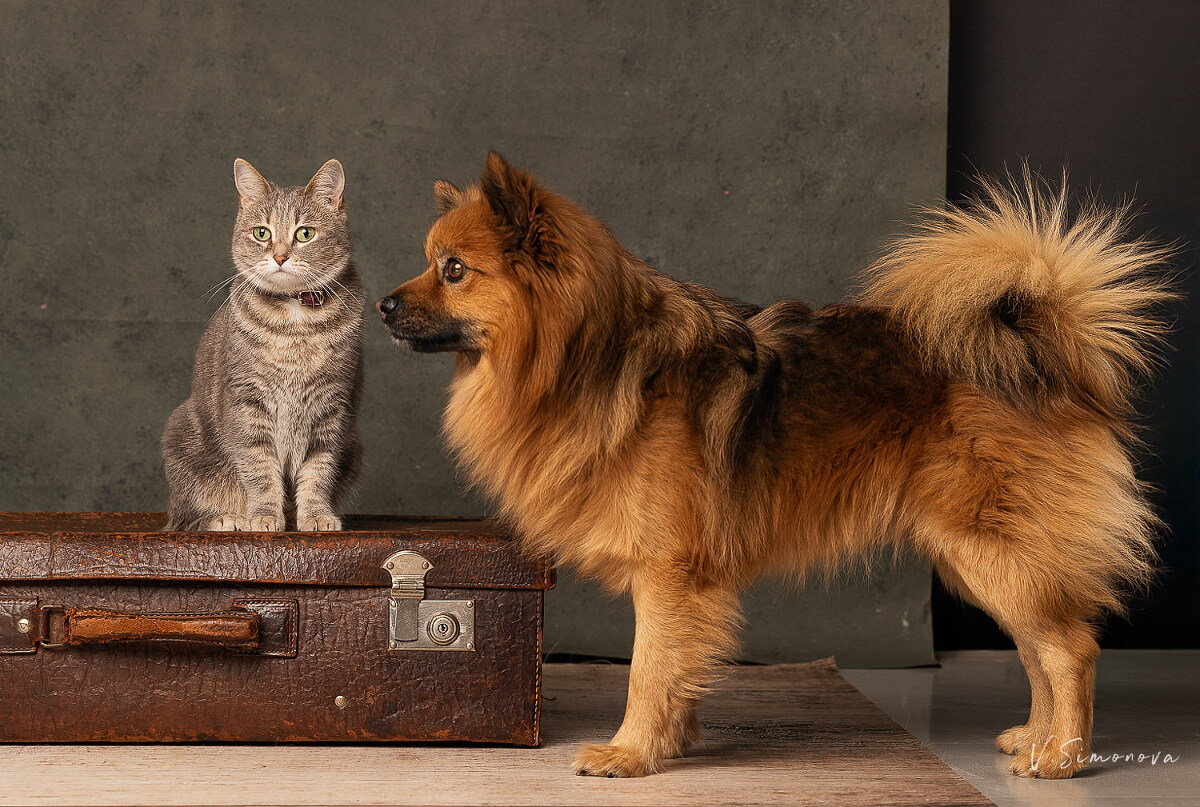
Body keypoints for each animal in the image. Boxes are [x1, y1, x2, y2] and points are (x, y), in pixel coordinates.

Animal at [162, 160, 362, 533]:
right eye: (261, 233)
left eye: (305, 233)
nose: (280, 256)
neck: (295, 323)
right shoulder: (247, 401)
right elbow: (259, 467)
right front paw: (264, 515)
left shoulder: (332, 406)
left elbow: (319, 470)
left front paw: (316, 515)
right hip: (182, 439)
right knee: (186, 516)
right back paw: (227, 517)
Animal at [381, 154, 1171, 778]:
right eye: (431, 262)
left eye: (454, 271)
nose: (384, 304)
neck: (592, 360)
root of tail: (1048, 348)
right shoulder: (682, 580)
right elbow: (676, 670)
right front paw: (672, 742)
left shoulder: (669, 571)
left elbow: (648, 669)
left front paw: (631, 753)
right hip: (983, 556)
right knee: (1040, 647)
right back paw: (1033, 738)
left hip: (990, 545)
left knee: (1071, 648)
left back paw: (1061, 757)